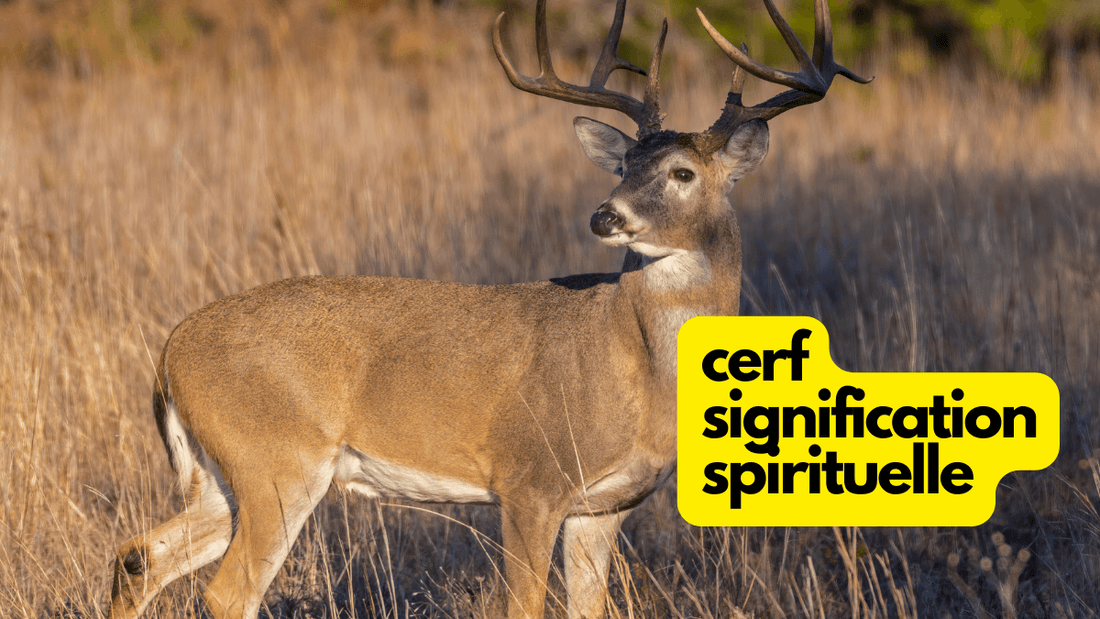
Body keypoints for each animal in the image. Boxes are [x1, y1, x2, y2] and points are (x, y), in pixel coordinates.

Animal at [107, 0, 868, 616]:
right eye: (623, 167)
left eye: (682, 172)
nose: (604, 215)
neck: (637, 368)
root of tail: (170, 352)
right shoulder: (529, 479)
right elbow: (522, 607)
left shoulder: (604, 506)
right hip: (277, 459)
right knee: (225, 591)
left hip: (221, 476)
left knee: (139, 555)